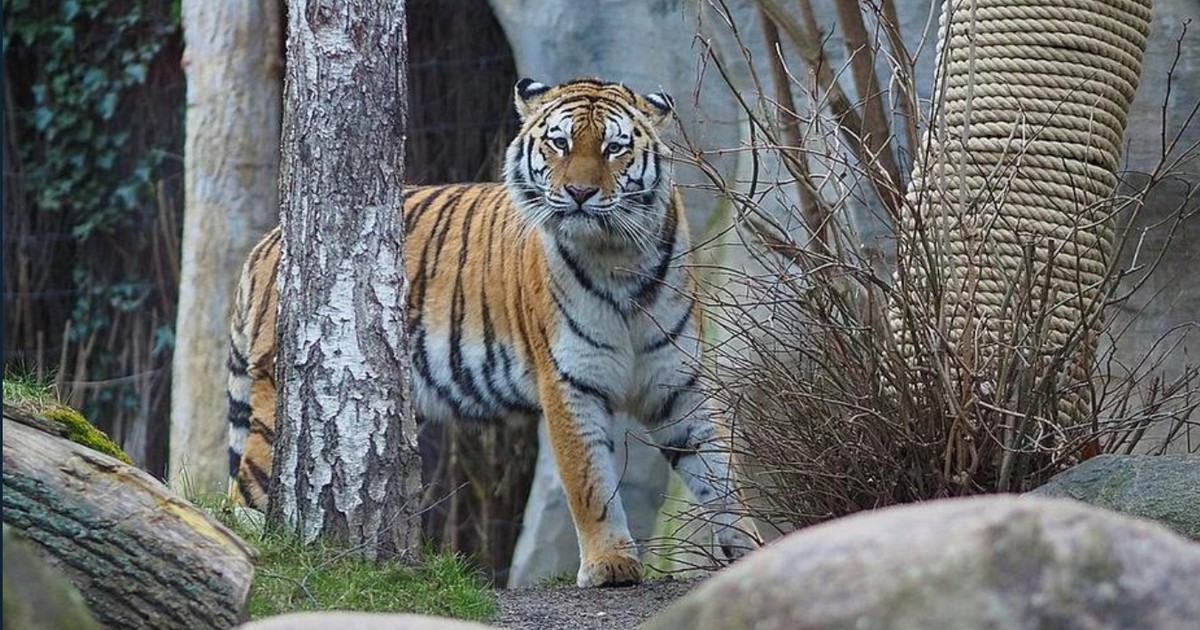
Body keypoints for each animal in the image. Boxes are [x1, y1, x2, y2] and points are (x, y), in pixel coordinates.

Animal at [227, 77, 762, 587]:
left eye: (614, 148)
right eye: (560, 143)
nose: (580, 193)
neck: (619, 258)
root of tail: (269, 242)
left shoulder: (678, 383)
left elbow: (720, 470)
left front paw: (751, 550)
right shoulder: (570, 381)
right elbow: (590, 482)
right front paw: (610, 564)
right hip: (274, 413)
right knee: (241, 493)